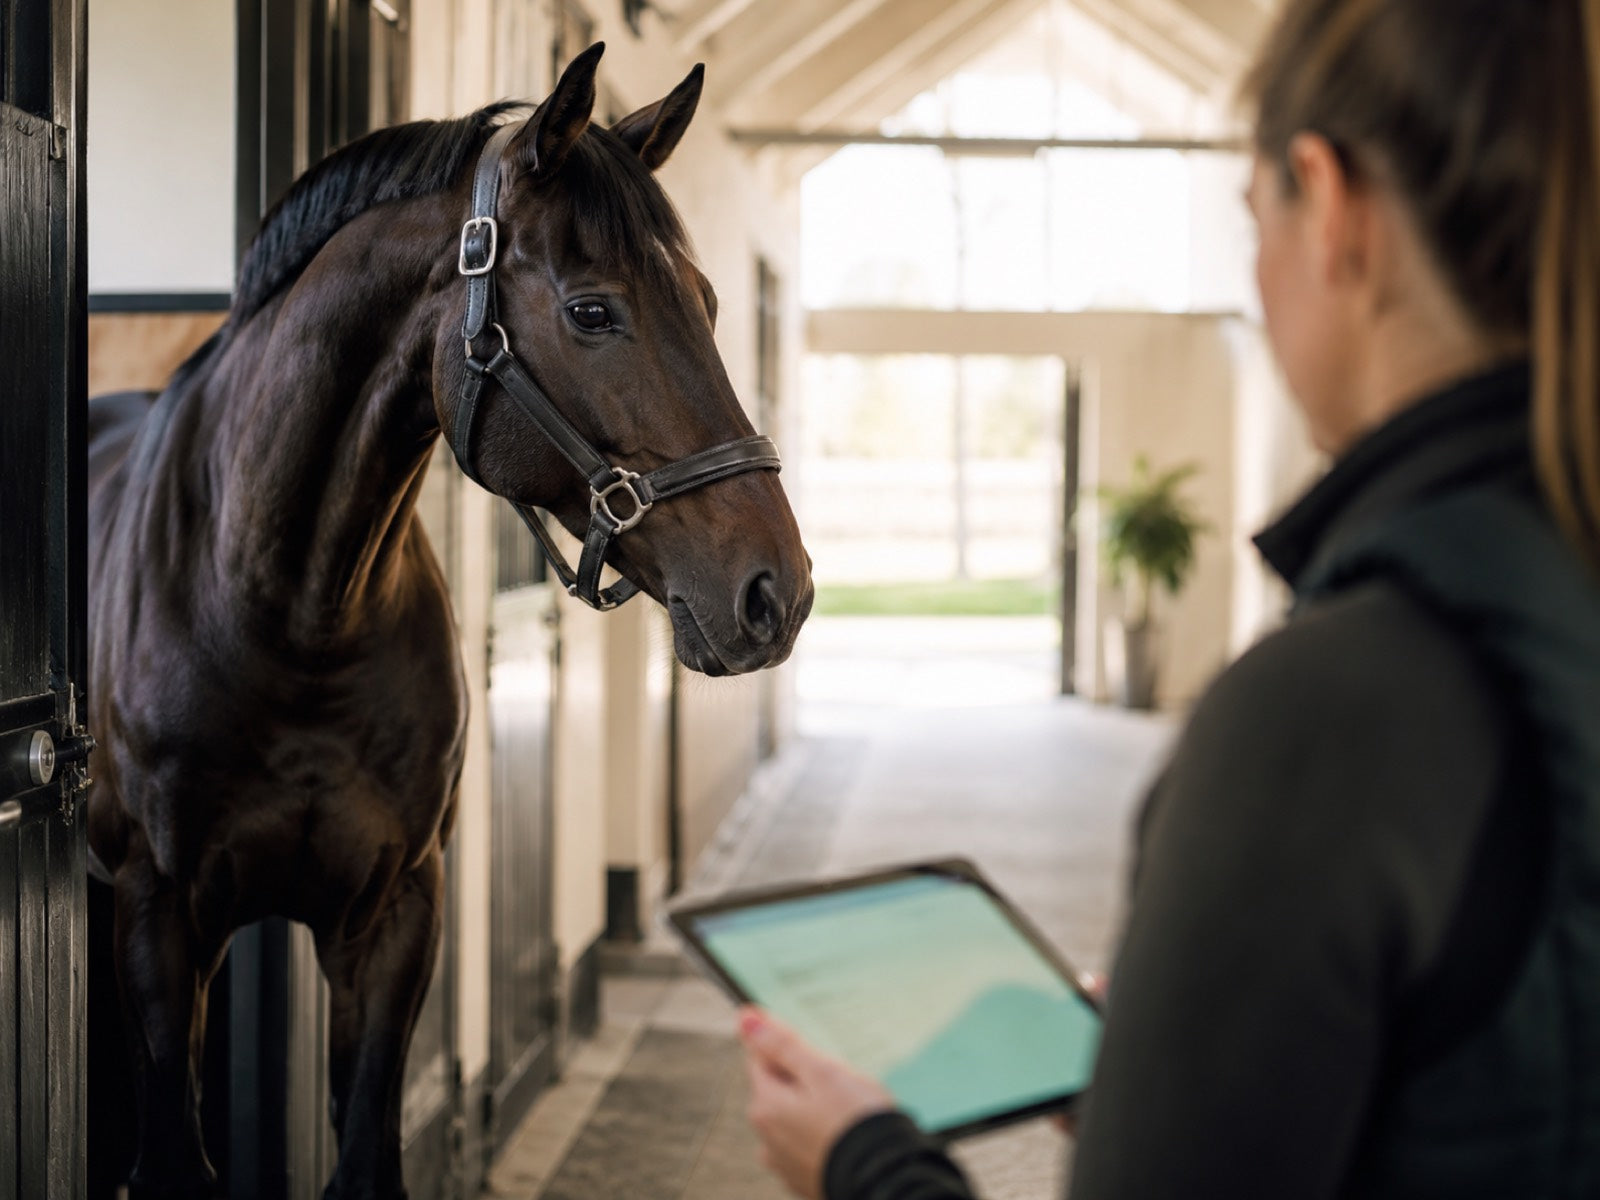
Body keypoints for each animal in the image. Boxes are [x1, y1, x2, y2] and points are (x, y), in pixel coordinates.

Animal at [85, 43, 812, 1199]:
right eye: (593, 312)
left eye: (705, 298)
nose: (773, 591)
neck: (290, 613)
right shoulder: (157, 919)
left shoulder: (395, 916)